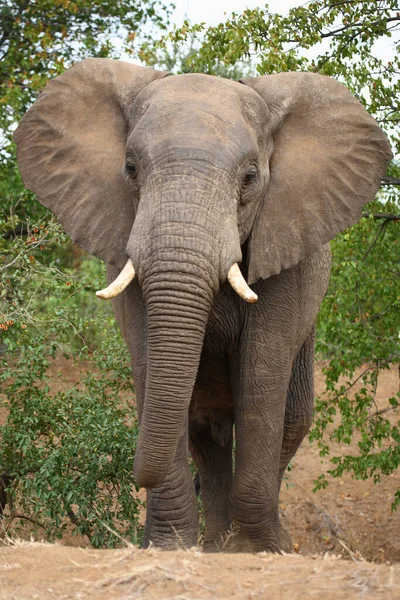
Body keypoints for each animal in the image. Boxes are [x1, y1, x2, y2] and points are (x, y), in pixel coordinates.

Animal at [13, 58, 394, 552]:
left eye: (250, 177)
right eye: (129, 167)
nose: (137, 477)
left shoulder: (285, 246)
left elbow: (260, 373)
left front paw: (260, 550)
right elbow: (148, 362)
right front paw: (169, 546)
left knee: (291, 418)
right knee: (205, 428)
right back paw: (214, 544)